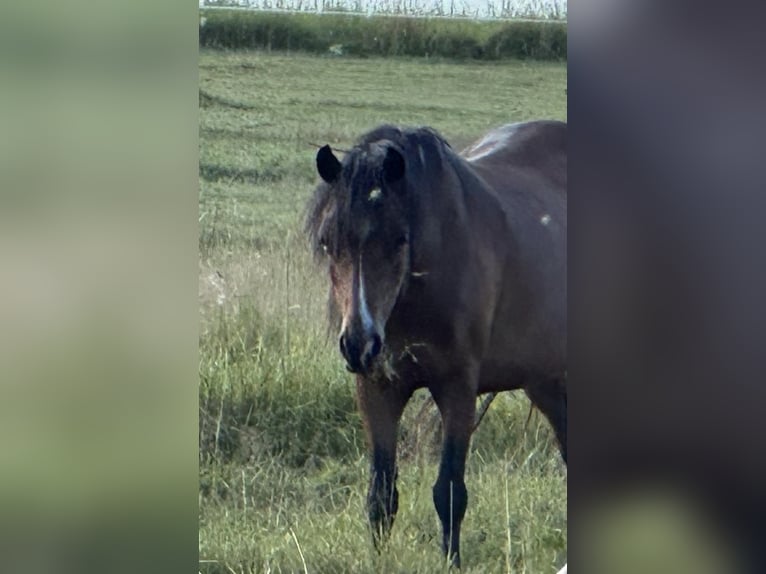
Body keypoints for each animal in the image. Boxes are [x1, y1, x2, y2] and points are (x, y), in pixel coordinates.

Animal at [304, 120, 568, 568]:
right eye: (327, 241)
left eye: (398, 239)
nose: (358, 343)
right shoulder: (377, 388)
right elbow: (381, 495)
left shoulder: (457, 388)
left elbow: (449, 492)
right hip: (546, 380)